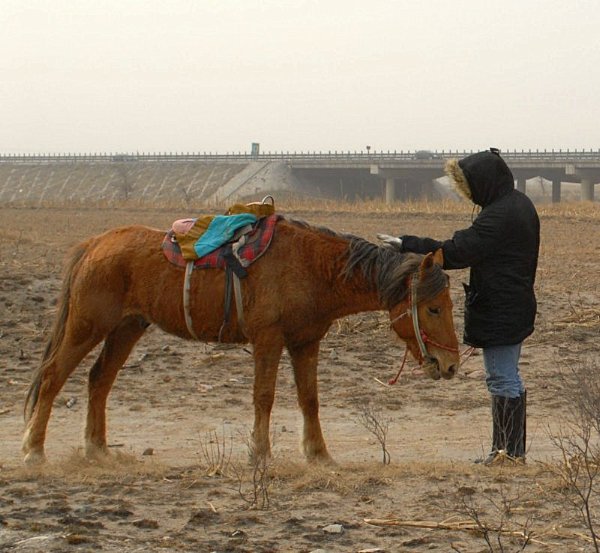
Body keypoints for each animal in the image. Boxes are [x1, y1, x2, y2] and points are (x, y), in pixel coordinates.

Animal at [22, 218, 460, 464]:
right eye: (434, 308)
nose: (450, 364)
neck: (310, 267)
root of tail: (95, 244)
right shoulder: (268, 339)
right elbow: (263, 397)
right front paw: (259, 452)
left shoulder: (306, 342)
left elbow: (309, 399)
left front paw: (318, 453)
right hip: (88, 326)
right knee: (53, 377)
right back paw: (33, 450)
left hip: (127, 327)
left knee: (99, 380)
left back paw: (97, 448)